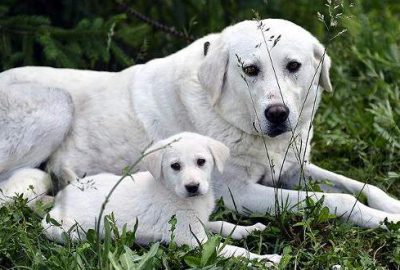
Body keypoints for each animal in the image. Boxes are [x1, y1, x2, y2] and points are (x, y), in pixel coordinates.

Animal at [0, 17, 400, 227]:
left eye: (294, 66)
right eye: (250, 70)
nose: (278, 114)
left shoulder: (292, 168)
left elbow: (364, 187)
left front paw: (392, 207)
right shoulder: (239, 194)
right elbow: (339, 201)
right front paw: (384, 221)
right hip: (58, 103)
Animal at [42, 132, 282, 264]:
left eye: (201, 162)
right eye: (175, 166)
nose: (193, 187)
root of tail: (68, 190)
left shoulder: (199, 223)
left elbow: (224, 225)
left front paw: (251, 229)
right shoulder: (196, 240)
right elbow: (236, 251)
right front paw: (267, 259)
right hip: (61, 230)